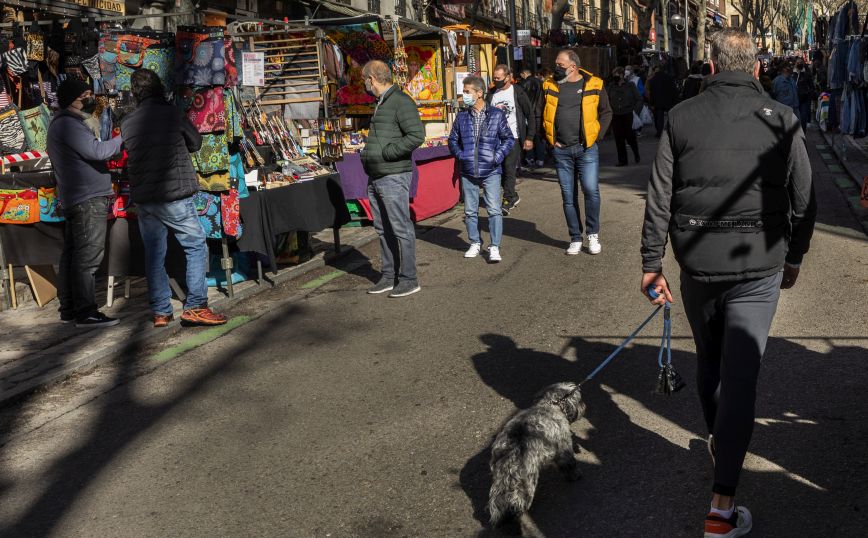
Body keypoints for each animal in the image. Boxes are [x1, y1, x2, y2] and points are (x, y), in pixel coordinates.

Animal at [488, 378, 584, 532]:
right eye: (580, 400)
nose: (584, 407)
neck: (550, 404)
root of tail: (512, 447)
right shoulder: (563, 446)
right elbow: (568, 463)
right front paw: (575, 475)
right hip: (527, 479)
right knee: (518, 500)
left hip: (501, 477)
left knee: (498, 499)